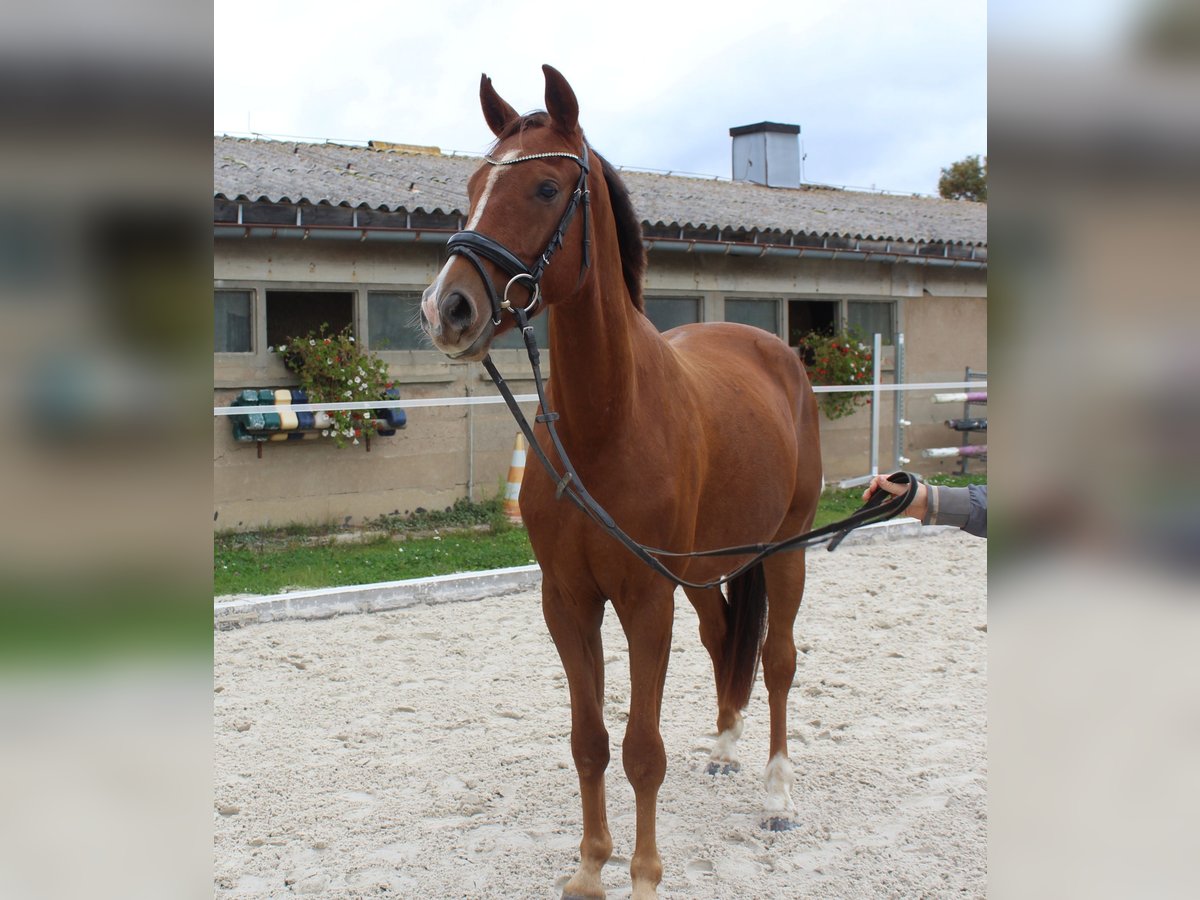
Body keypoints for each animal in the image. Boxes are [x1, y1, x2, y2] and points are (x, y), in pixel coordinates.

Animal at [420, 65, 822, 900]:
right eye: (474, 183)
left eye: (545, 187)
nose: (448, 309)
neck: (605, 422)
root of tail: (778, 353)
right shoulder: (568, 601)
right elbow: (590, 740)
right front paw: (588, 866)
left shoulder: (643, 600)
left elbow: (641, 749)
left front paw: (642, 873)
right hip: (708, 568)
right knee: (723, 637)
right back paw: (725, 749)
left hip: (789, 549)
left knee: (777, 660)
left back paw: (777, 793)